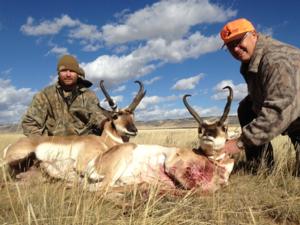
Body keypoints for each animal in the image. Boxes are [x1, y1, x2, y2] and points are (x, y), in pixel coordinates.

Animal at [35, 86, 237, 192]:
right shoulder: (172, 164)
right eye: (200, 128)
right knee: (101, 189)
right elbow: (192, 186)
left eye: (224, 127)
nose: (207, 133)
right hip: (121, 160)